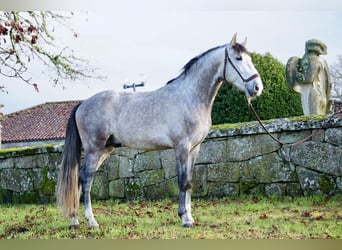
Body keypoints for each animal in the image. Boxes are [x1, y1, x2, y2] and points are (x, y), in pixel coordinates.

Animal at [57, 33, 264, 229]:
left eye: (250, 58)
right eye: (238, 58)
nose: (257, 88)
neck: (189, 96)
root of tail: (82, 104)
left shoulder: (194, 148)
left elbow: (190, 182)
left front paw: (190, 217)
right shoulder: (181, 147)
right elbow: (182, 182)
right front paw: (184, 219)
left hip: (105, 149)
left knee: (80, 177)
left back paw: (75, 220)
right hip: (94, 149)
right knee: (85, 178)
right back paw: (90, 221)